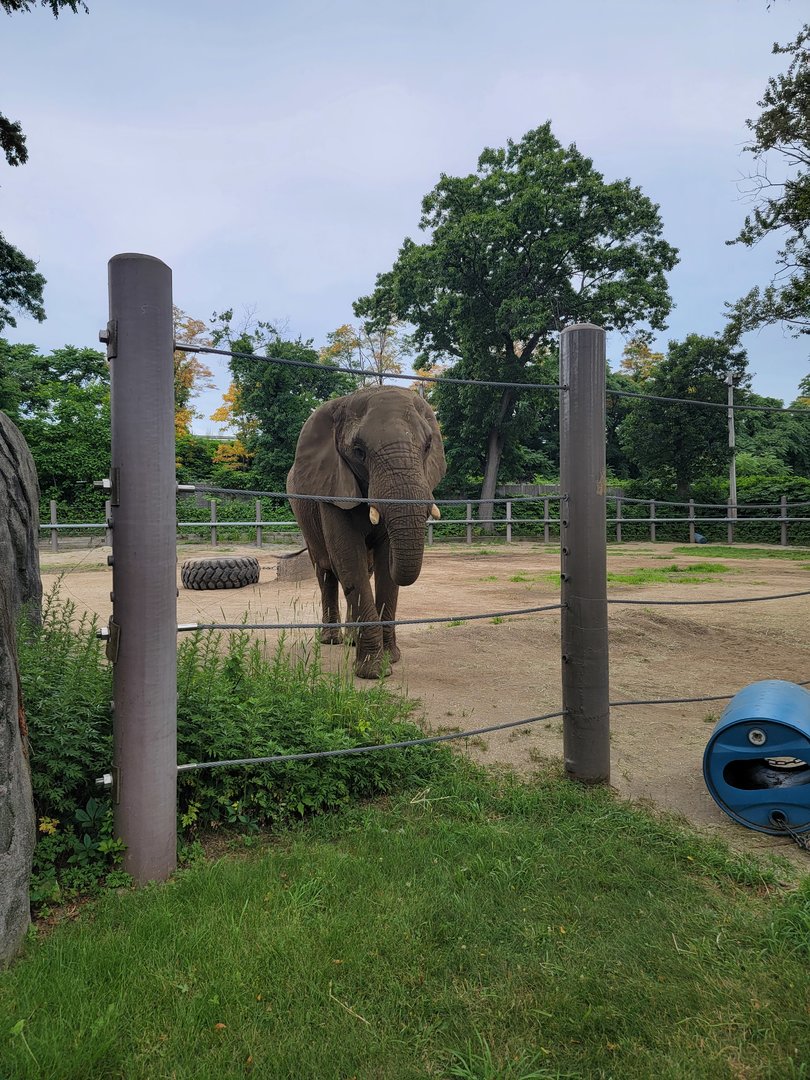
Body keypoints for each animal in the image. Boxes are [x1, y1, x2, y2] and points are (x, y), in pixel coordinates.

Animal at [287, 385, 446, 679]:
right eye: (358, 451)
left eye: (428, 446)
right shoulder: (332, 487)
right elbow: (349, 557)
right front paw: (373, 672)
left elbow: (382, 569)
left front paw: (390, 659)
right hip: (305, 518)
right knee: (326, 571)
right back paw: (332, 640)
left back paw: (351, 640)